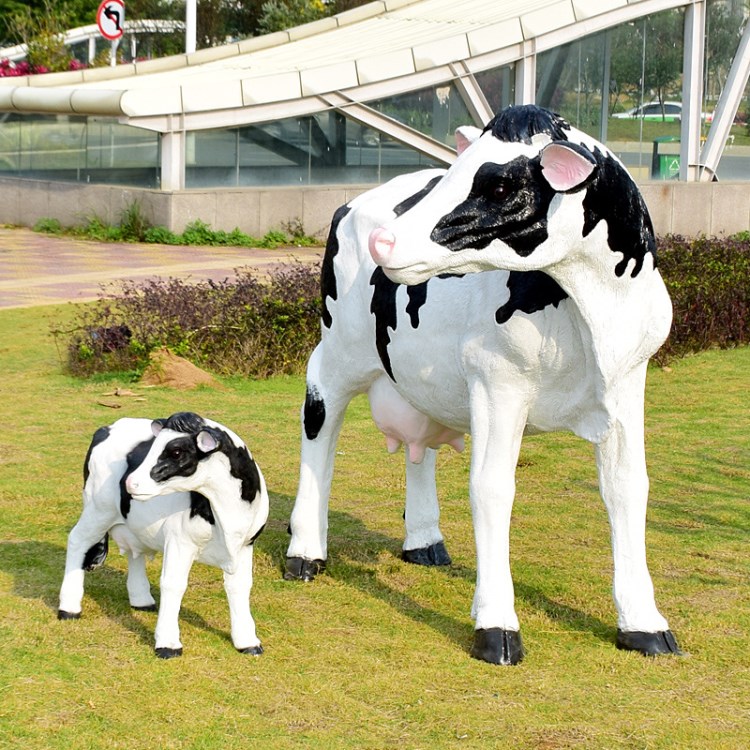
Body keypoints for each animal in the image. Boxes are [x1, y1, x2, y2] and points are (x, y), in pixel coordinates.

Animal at [59, 414, 270, 660]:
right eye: (154, 446)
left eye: (176, 452)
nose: (130, 482)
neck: (227, 511)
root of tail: (108, 427)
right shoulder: (179, 541)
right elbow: (173, 584)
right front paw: (168, 644)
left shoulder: (245, 545)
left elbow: (240, 587)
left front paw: (247, 641)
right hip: (97, 509)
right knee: (77, 540)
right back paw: (69, 608)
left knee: (134, 553)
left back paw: (141, 600)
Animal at [284, 104, 684, 664]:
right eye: (455, 171)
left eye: (498, 185)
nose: (384, 240)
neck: (594, 308)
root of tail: (358, 200)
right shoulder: (498, 380)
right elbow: (492, 489)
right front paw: (496, 626)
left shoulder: (627, 383)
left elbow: (628, 487)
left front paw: (644, 624)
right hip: (340, 348)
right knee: (320, 419)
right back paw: (305, 552)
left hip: (418, 375)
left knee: (419, 446)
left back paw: (424, 542)